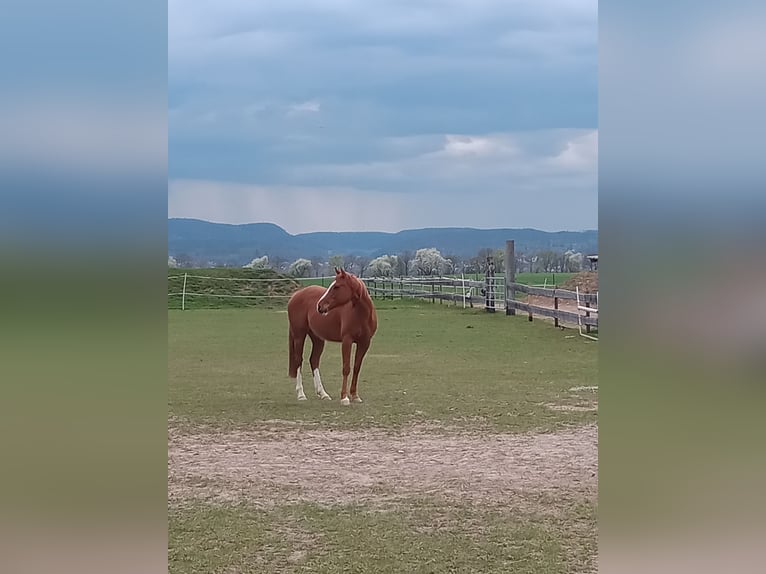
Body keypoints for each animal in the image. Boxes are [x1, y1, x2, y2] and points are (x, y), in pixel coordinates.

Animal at [287, 267, 378, 406]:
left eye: (336, 286)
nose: (319, 306)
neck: (361, 315)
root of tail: (296, 295)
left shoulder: (364, 343)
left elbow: (356, 368)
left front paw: (355, 396)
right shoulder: (347, 341)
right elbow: (346, 368)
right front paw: (344, 398)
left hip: (318, 339)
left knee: (314, 360)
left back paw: (323, 394)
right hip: (299, 336)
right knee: (298, 360)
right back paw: (301, 394)